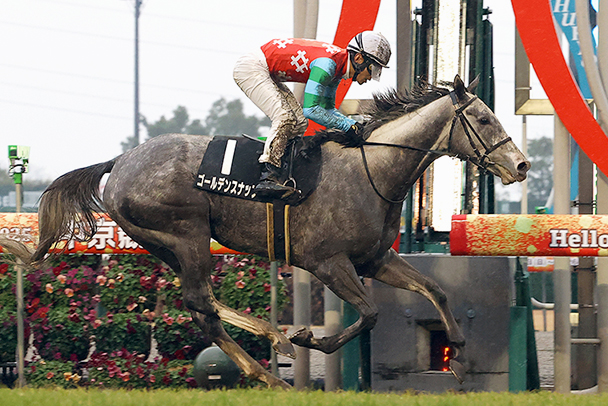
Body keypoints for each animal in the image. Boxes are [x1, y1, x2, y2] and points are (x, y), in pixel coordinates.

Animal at [16, 75, 529, 388]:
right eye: (484, 119)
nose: (521, 165)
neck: (373, 170)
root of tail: (119, 160)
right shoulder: (328, 263)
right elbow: (368, 314)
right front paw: (311, 340)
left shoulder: (376, 259)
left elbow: (434, 289)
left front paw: (456, 350)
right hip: (186, 232)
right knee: (201, 303)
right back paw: (274, 361)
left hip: (161, 242)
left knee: (202, 304)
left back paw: (269, 357)